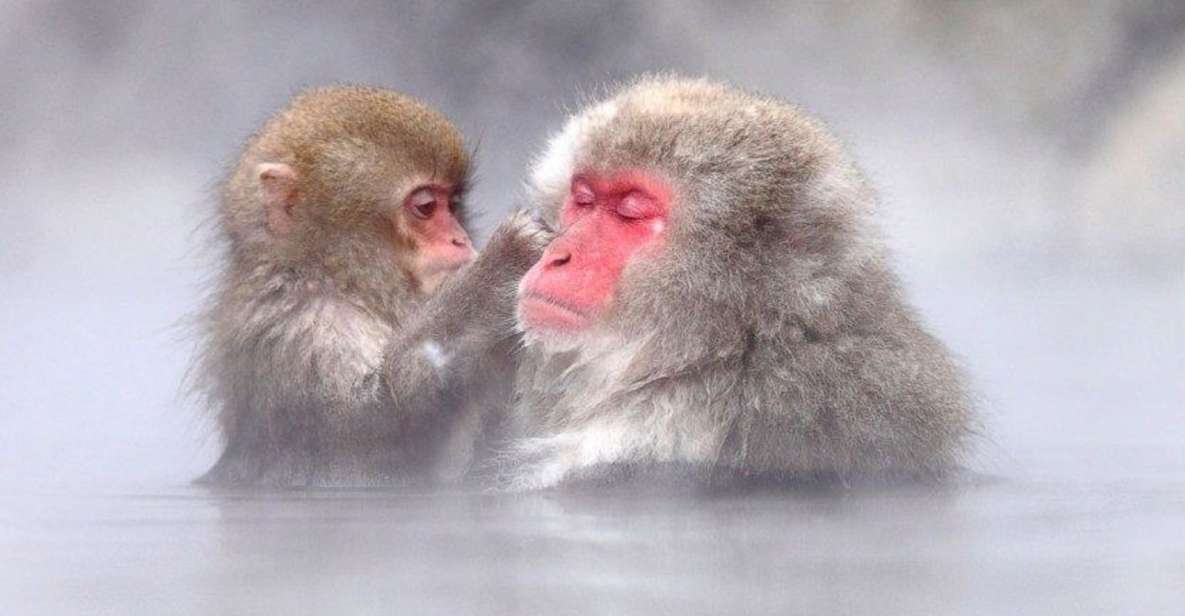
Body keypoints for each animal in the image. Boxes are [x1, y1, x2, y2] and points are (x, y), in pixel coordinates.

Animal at [193, 86, 545, 487]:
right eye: (426, 206)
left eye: (453, 205)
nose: (460, 239)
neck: (339, 280)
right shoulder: (301, 329)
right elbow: (374, 428)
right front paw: (500, 266)